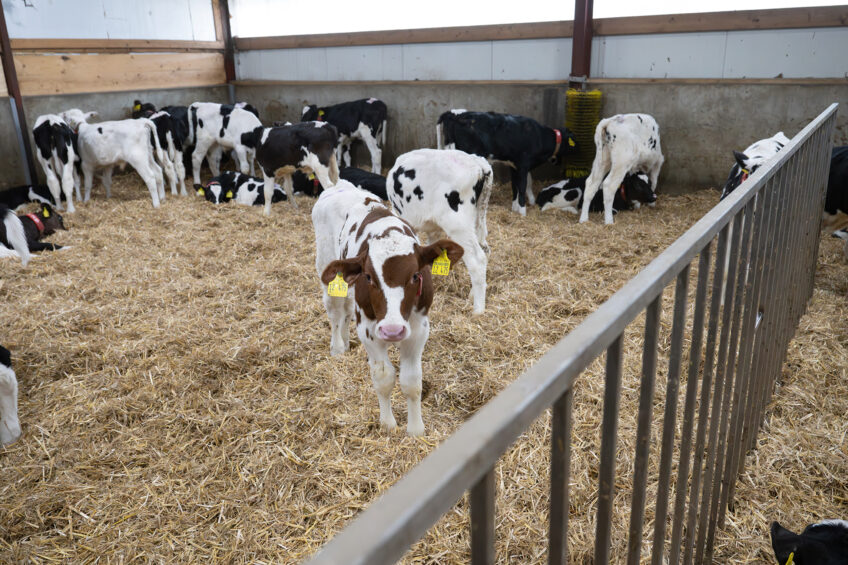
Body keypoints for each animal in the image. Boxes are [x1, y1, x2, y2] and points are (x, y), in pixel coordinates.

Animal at [312, 180, 463, 436]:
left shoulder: (418, 329)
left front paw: (415, 429)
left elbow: (412, 381)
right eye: (369, 277)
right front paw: (388, 424)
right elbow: (383, 377)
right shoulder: (368, 330)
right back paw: (338, 346)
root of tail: (337, 184)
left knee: (346, 309)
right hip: (327, 268)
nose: (392, 331)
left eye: (415, 275)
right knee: (334, 310)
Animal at [387, 148, 493, 314]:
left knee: (477, 260)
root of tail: (478, 163)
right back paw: (472, 295)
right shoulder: (433, 230)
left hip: (458, 224)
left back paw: (478, 310)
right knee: (486, 250)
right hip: (479, 219)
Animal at [436, 110, 578, 216]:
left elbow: (514, 186)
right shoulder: (523, 166)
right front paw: (522, 212)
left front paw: (514, 208)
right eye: (574, 140)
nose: (580, 148)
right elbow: (522, 187)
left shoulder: (513, 166)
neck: (540, 137)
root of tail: (456, 115)